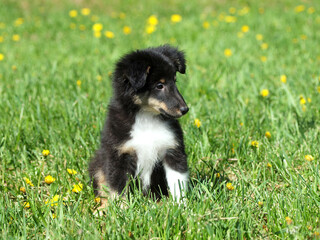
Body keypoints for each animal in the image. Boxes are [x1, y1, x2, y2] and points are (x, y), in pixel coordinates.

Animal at [89, 45, 190, 208]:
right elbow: (118, 189)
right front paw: (122, 210)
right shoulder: (119, 156)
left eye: (175, 81)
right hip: (98, 165)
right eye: (159, 85)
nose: (185, 109)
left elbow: (178, 182)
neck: (146, 117)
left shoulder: (173, 150)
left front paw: (181, 206)